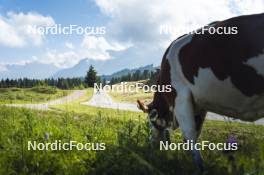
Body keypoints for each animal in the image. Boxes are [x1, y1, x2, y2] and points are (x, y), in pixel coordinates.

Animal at [137, 13, 264, 170]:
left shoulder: (180, 97)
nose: (151, 144)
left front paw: (200, 167)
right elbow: (196, 133)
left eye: (149, 120)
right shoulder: (199, 105)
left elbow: (190, 135)